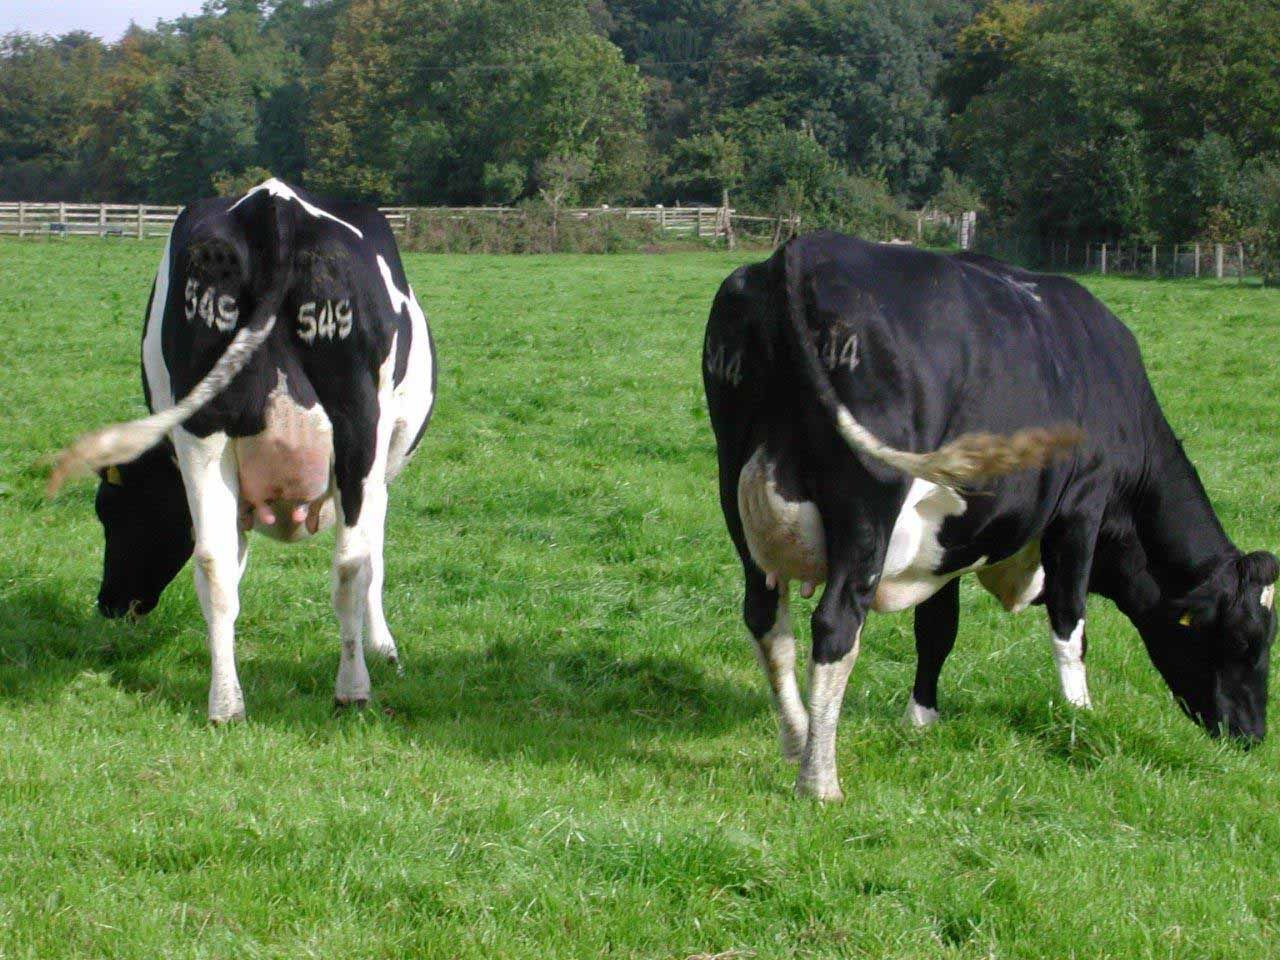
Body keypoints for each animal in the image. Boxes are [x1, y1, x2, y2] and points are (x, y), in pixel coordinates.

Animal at [47, 179, 436, 722]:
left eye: (109, 509)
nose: (110, 604)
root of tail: (272, 205)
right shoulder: (379, 467)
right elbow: (373, 558)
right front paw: (384, 648)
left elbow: (231, 565)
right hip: (359, 425)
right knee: (350, 566)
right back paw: (352, 689)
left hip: (203, 429)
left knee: (214, 566)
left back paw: (226, 702)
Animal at [703, 232, 1277, 801]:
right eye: (1245, 641)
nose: (1251, 736)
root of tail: (801, 250)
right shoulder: (1081, 507)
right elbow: (1071, 622)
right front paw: (1080, 715)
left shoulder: (952, 538)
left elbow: (938, 628)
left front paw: (922, 719)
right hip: (868, 508)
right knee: (836, 625)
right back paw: (819, 780)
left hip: (734, 482)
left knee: (765, 618)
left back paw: (797, 738)